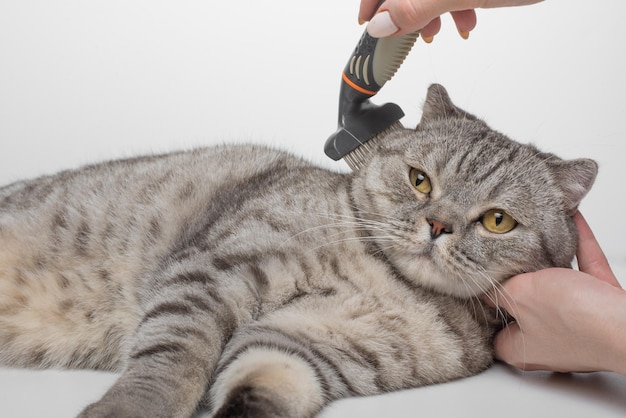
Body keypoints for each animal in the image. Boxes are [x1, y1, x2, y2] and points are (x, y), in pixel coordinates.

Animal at [0, 85, 596, 418]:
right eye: (420, 180)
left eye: (497, 221)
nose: (437, 226)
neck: (387, 281)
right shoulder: (212, 275)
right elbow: (170, 364)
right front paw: (129, 410)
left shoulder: (307, 345)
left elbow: (260, 390)